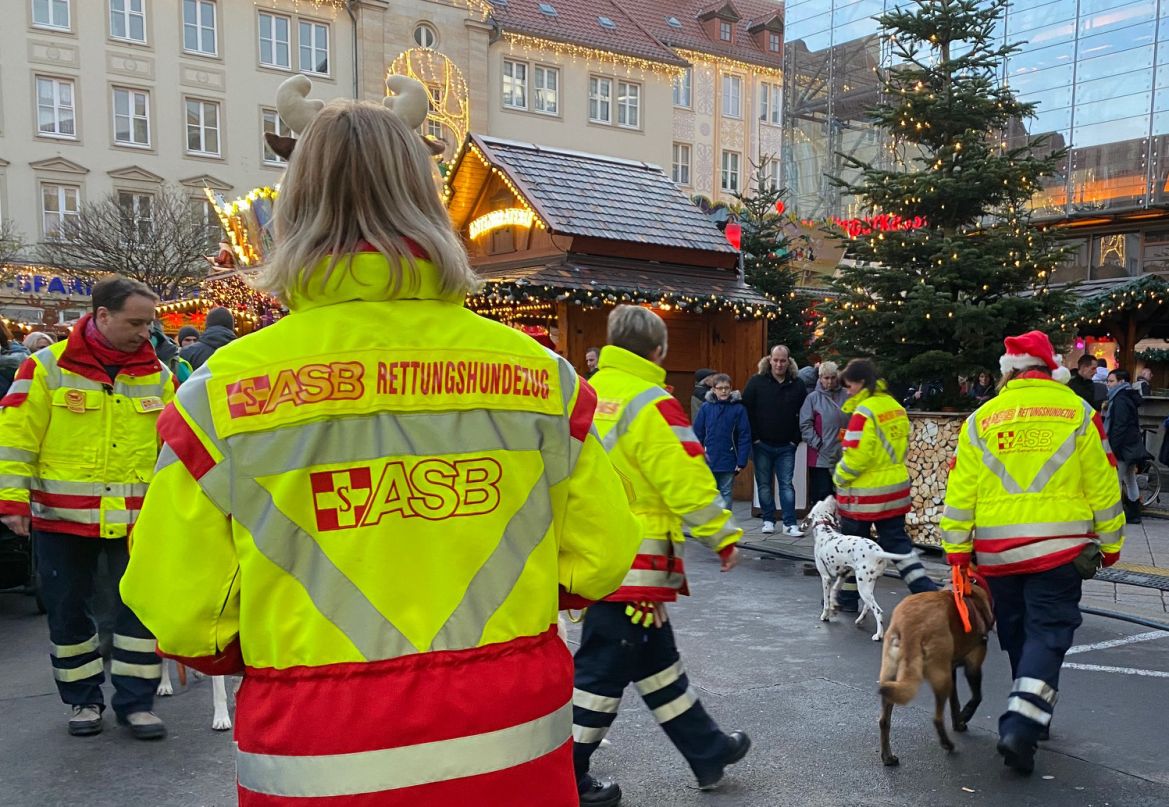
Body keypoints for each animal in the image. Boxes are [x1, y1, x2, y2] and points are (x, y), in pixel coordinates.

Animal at [808, 493, 916, 636]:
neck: (825, 533)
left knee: (878, 611)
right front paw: (834, 607)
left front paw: (825, 615)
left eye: (822, 501)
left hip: (863, 587)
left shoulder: (825, 578)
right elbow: (834, 591)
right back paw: (860, 620)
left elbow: (826, 599)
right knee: (867, 607)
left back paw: (878, 635)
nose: (832, 495)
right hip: (868, 586)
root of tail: (878, 552)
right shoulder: (843, 575)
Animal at [879, 582, 995, 762]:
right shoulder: (973, 666)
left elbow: (955, 702)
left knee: (884, 720)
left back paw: (888, 757)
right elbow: (977, 696)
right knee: (937, 719)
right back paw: (947, 744)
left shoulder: (952, 670)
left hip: (891, 677)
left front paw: (958, 722)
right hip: (941, 678)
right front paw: (965, 715)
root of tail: (910, 625)